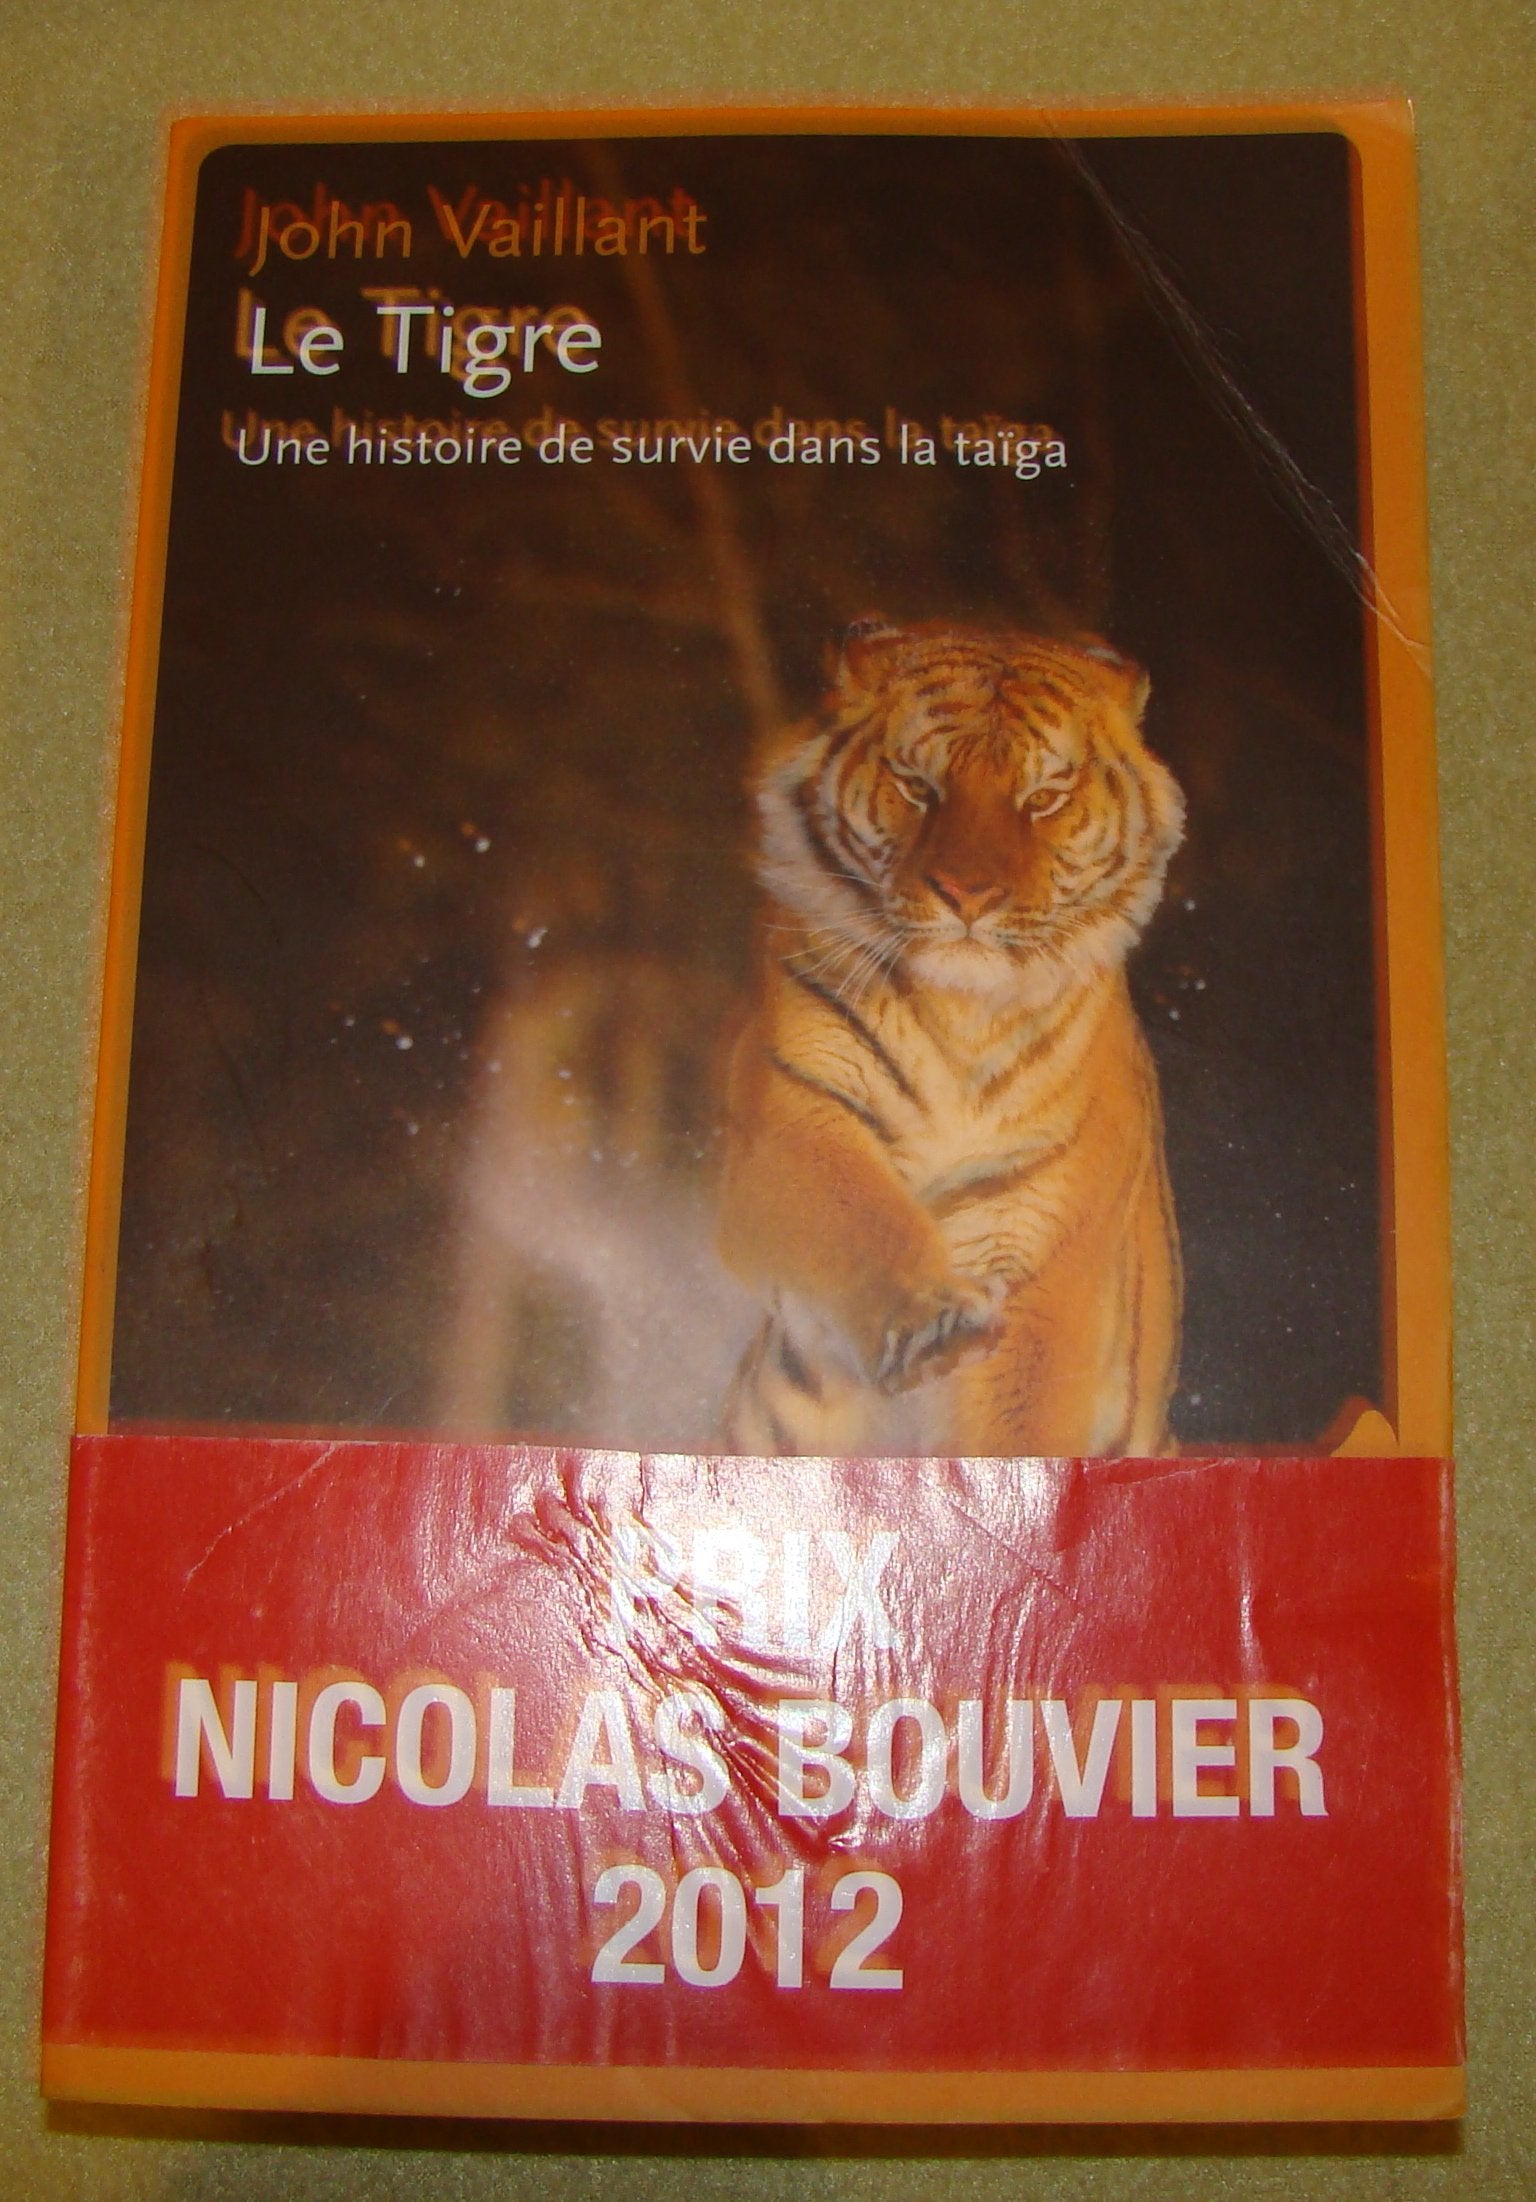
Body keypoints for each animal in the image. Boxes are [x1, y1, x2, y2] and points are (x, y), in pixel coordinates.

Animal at [717, 617, 1185, 1459]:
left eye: (1043, 799)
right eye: (916, 786)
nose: (968, 893)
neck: (959, 1013)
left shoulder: (1045, 1232)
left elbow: (1020, 1417)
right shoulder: (789, 1119)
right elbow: (858, 1217)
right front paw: (935, 1328)